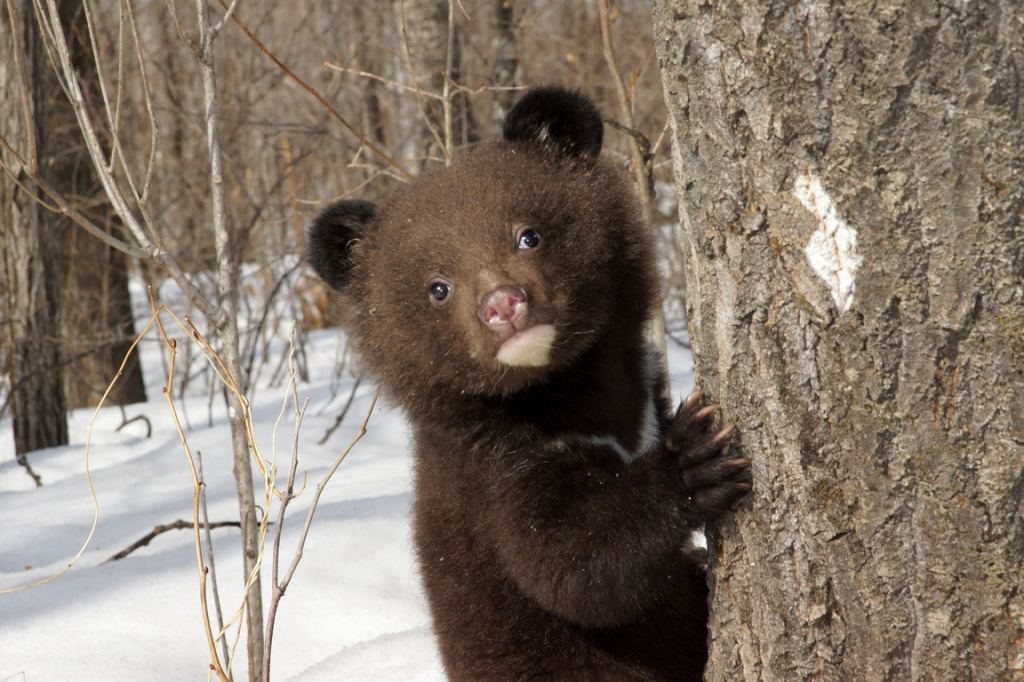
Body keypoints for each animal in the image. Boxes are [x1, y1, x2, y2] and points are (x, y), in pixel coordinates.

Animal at [306, 86, 751, 681]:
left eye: (528, 235)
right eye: (438, 287)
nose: (502, 305)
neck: (566, 392)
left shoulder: (642, 390)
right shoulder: (492, 470)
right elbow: (570, 567)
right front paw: (695, 457)